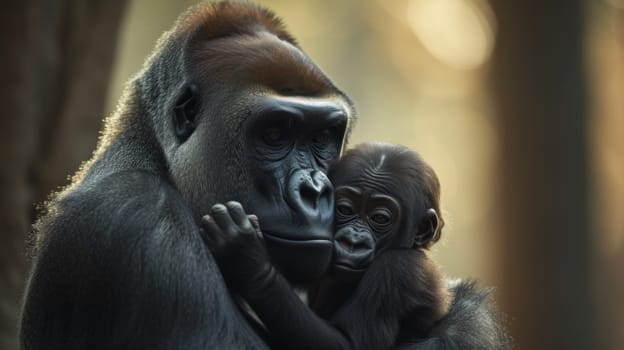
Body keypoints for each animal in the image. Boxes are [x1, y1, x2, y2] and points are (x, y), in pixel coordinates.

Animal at [202, 143, 450, 350]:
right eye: (345, 209)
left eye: (380, 218)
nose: (353, 241)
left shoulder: (397, 270)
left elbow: (348, 344)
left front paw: (248, 260)